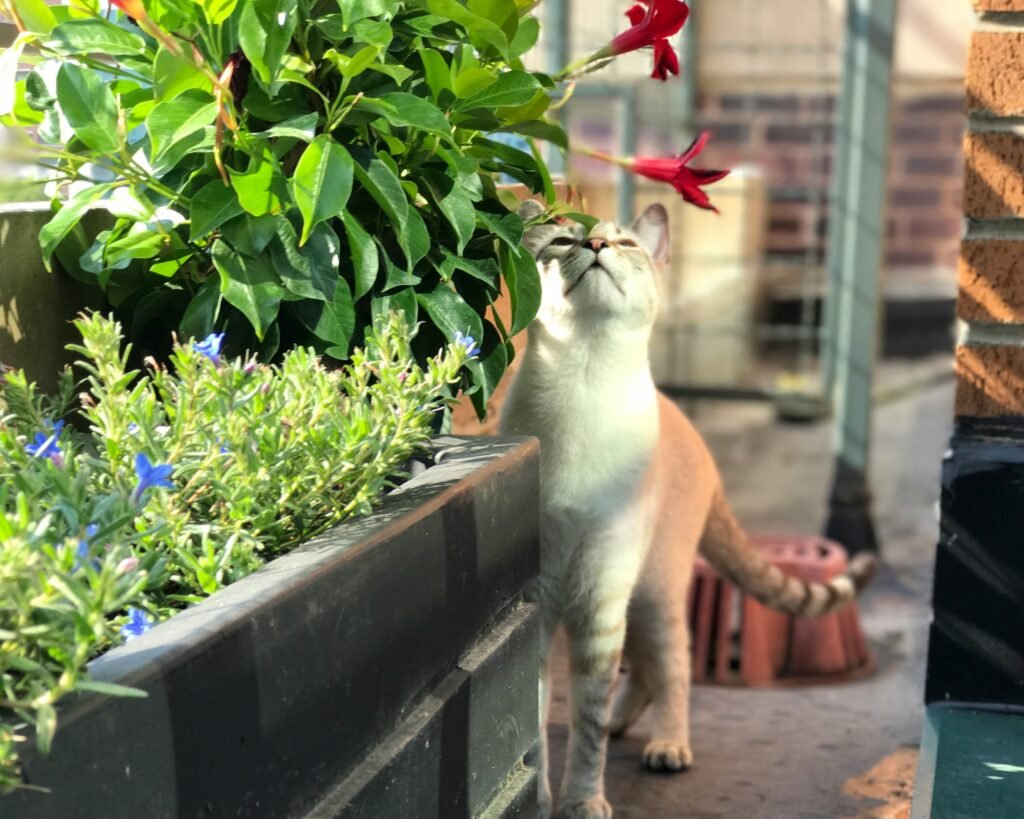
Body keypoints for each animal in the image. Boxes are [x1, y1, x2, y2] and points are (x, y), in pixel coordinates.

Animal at [499, 199, 876, 818]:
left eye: (624, 243)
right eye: (563, 241)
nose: (596, 246)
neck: (585, 379)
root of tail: (697, 438)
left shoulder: (601, 598)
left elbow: (587, 726)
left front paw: (583, 801)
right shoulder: (546, 606)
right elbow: (534, 730)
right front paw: (540, 800)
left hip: (655, 589)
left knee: (673, 665)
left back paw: (668, 745)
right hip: (637, 597)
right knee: (646, 672)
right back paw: (630, 725)